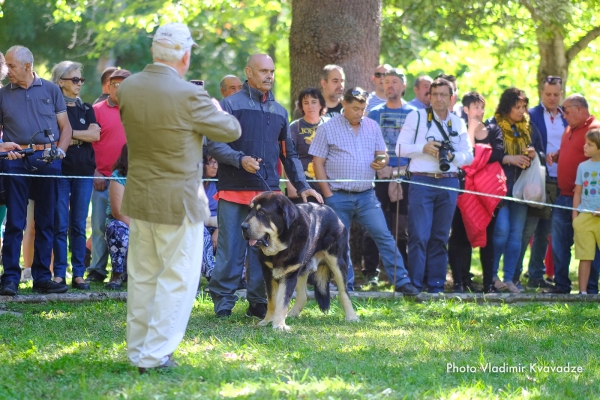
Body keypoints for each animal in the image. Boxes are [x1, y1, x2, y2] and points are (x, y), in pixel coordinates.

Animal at [240, 192, 360, 330]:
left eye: (261, 212)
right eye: (249, 211)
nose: (243, 226)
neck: (281, 246)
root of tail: (331, 211)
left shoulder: (289, 274)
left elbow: (282, 302)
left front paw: (279, 325)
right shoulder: (268, 273)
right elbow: (272, 301)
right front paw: (268, 321)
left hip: (337, 263)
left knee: (344, 293)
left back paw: (352, 317)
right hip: (302, 269)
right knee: (303, 296)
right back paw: (291, 314)